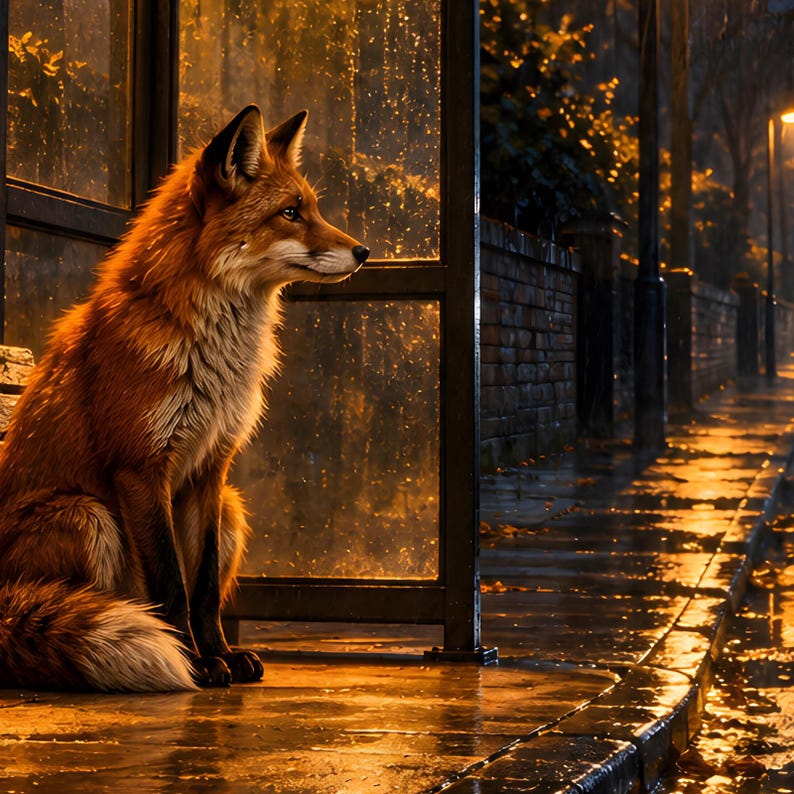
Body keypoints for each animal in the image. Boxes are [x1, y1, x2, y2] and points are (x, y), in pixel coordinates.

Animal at [0, 105, 369, 692]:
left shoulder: (211, 469)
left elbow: (203, 592)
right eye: (290, 213)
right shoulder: (142, 467)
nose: (364, 251)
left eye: (312, 208)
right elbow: (171, 587)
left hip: (233, 509)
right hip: (89, 516)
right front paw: (193, 662)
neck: (212, 359)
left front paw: (220, 654)